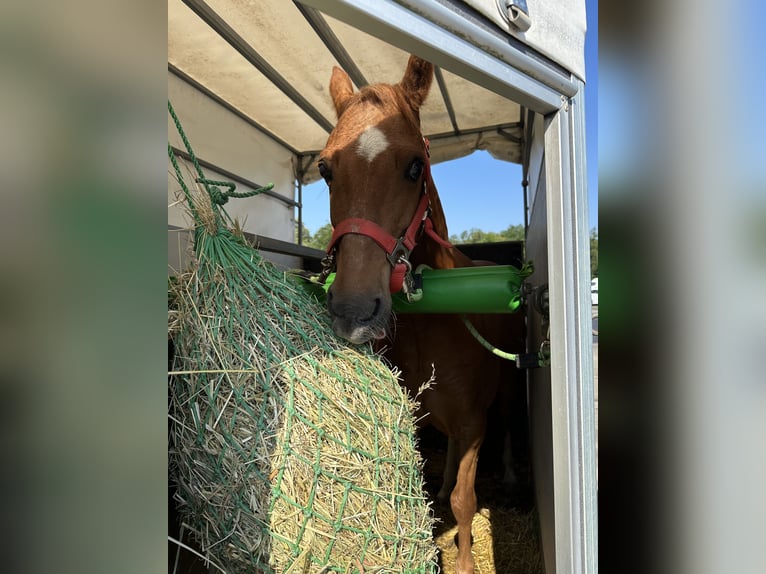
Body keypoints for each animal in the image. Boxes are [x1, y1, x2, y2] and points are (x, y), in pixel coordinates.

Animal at [319, 55, 526, 574]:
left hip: (507, 392)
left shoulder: (474, 424)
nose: (354, 309)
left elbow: (464, 502)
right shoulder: (418, 416)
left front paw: (465, 561)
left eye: (415, 166)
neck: (432, 325)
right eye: (326, 169)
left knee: (508, 428)